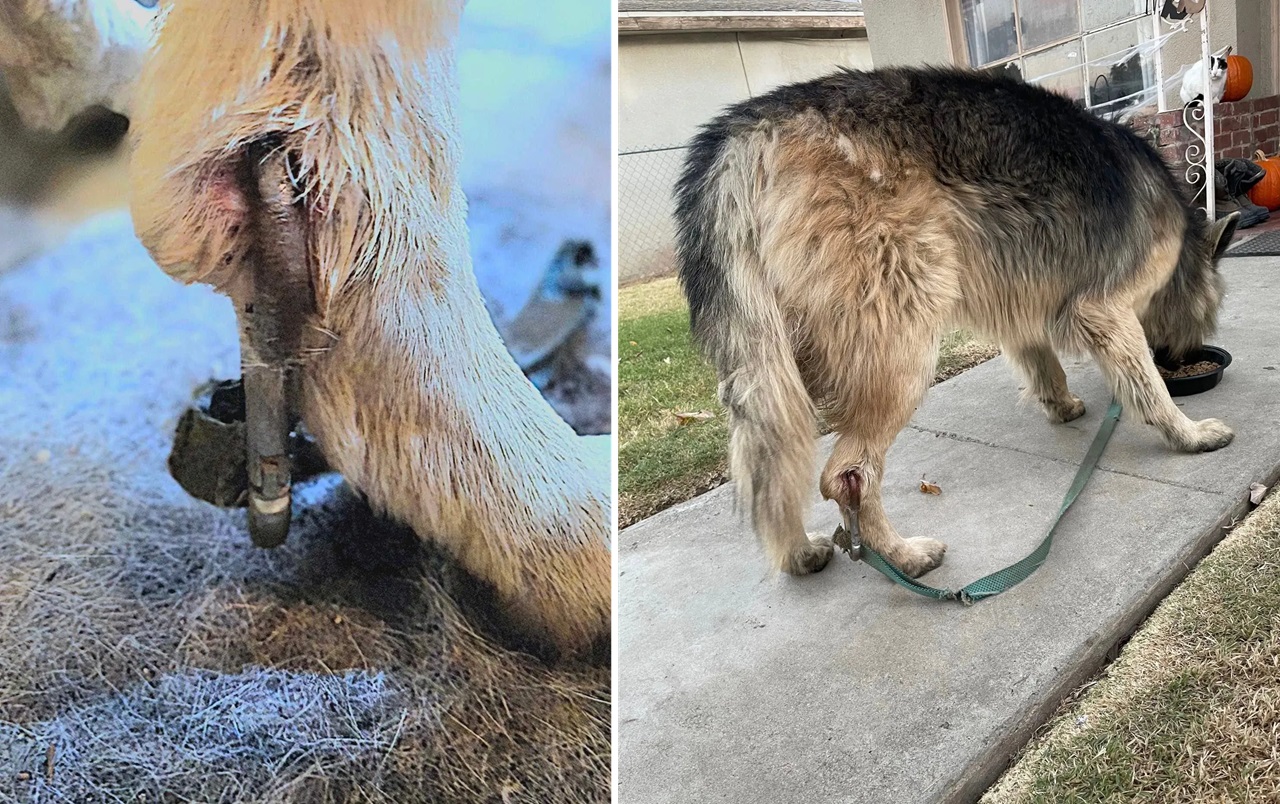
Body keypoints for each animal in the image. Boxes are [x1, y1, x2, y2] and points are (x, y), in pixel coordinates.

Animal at [670, 67, 1239, 578]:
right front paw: (1187, 433)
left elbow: (1042, 360)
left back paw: (800, 553)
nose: (1189, 359)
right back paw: (902, 557)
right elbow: (1147, 387)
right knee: (846, 476)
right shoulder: (1105, 309)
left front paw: (1061, 404)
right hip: (902, 345)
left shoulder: (1022, 305)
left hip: (770, 367)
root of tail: (748, 134)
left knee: (774, 470)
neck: (1182, 243)